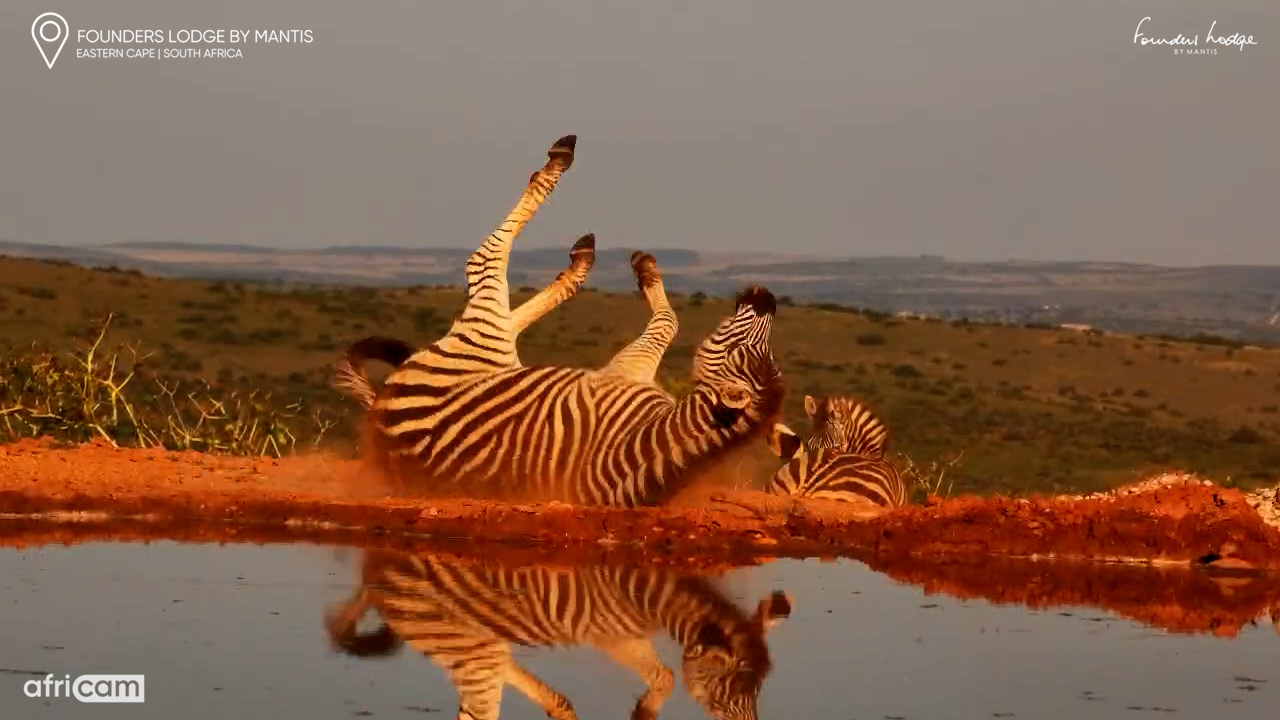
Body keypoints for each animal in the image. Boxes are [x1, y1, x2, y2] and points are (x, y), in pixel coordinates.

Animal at [324, 548, 792, 720]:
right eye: (733, 692)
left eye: (757, 691)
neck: (648, 591)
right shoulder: (610, 633)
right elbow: (666, 676)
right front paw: (644, 711)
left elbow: (664, 676)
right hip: (461, 641)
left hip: (478, 642)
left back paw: (560, 707)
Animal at [362, 134, 790, 507]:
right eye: (758, 350)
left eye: (741, 347)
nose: (767, 298)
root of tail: (382, 413)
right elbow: (671, 321)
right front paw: (647, 270)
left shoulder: (623, 369)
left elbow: (669, 322)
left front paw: (645, 271)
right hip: (496, 345)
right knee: (500, 282)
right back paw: (578, 252)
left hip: (486, 336)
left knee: (487, 260)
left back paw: (562, 177)